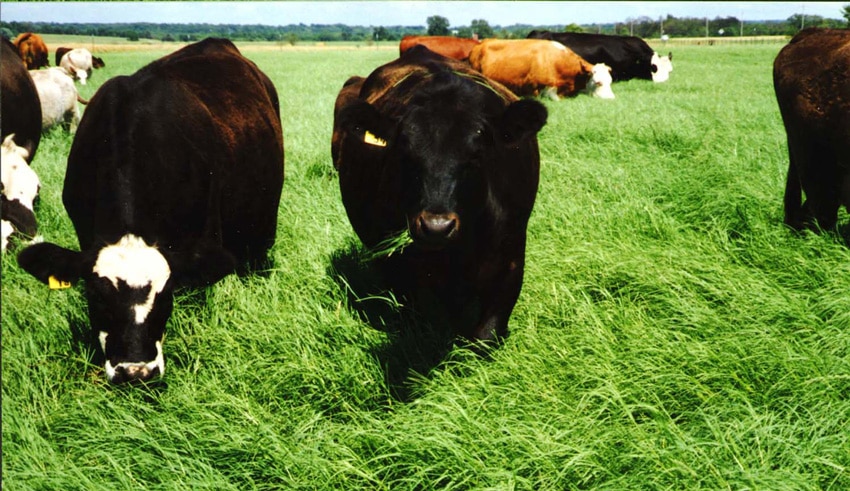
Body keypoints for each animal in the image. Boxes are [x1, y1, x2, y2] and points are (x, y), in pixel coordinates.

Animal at [333, 45, 547, 342]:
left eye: (477, 155)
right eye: (405, 152)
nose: (436, 226)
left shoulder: (511, 261)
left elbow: (486, 335)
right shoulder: (395, 266)